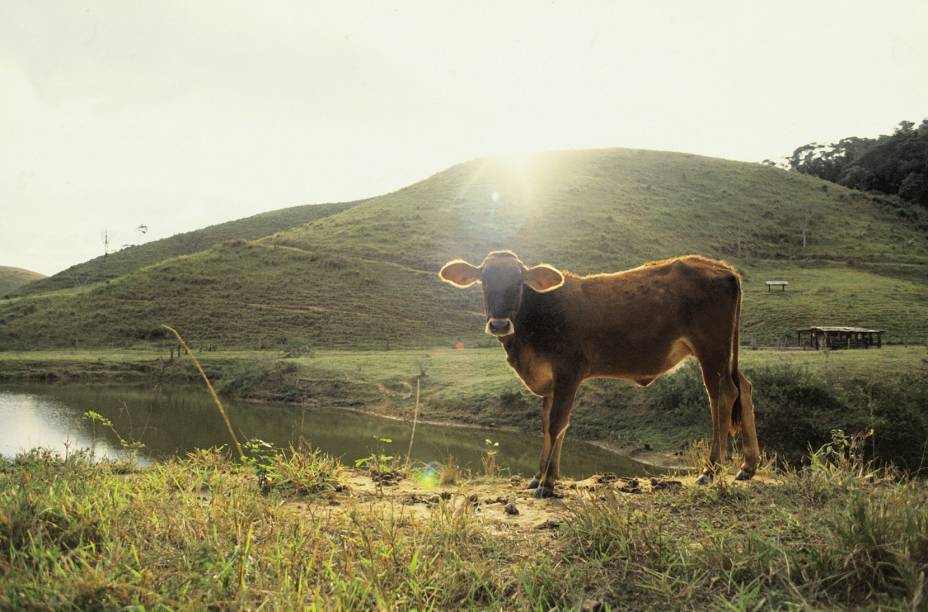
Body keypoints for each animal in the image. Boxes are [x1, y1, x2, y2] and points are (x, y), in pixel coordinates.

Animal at [442, 251, 760, 494]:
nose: (499, 324)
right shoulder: (550, 381)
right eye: (484, 280)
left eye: (518, 282)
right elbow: (546, 425)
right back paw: (747, 466)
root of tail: (723, 269)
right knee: (743, 387)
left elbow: (557, 424)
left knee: (722, 396)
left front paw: (548, 482)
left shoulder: (568, 371)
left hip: (712, 349)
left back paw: (711, 469)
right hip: (723, 354)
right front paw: (538, 476)